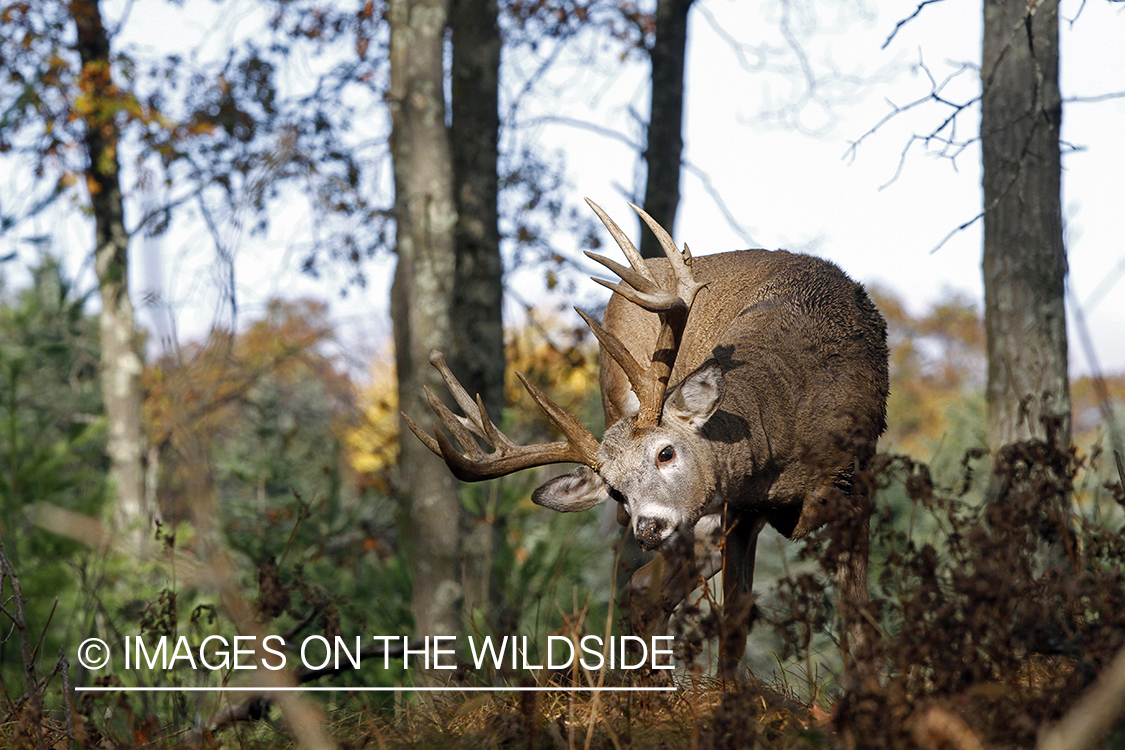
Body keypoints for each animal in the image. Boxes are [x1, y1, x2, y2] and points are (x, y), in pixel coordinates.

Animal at [405, 201, 886, 674]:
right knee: (636, 583)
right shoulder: (737, 509)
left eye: (666, 452)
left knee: (645, 589)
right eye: (615, 490)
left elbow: (858, 626)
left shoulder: (853, 486)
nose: (649, 527)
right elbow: (733, 626)